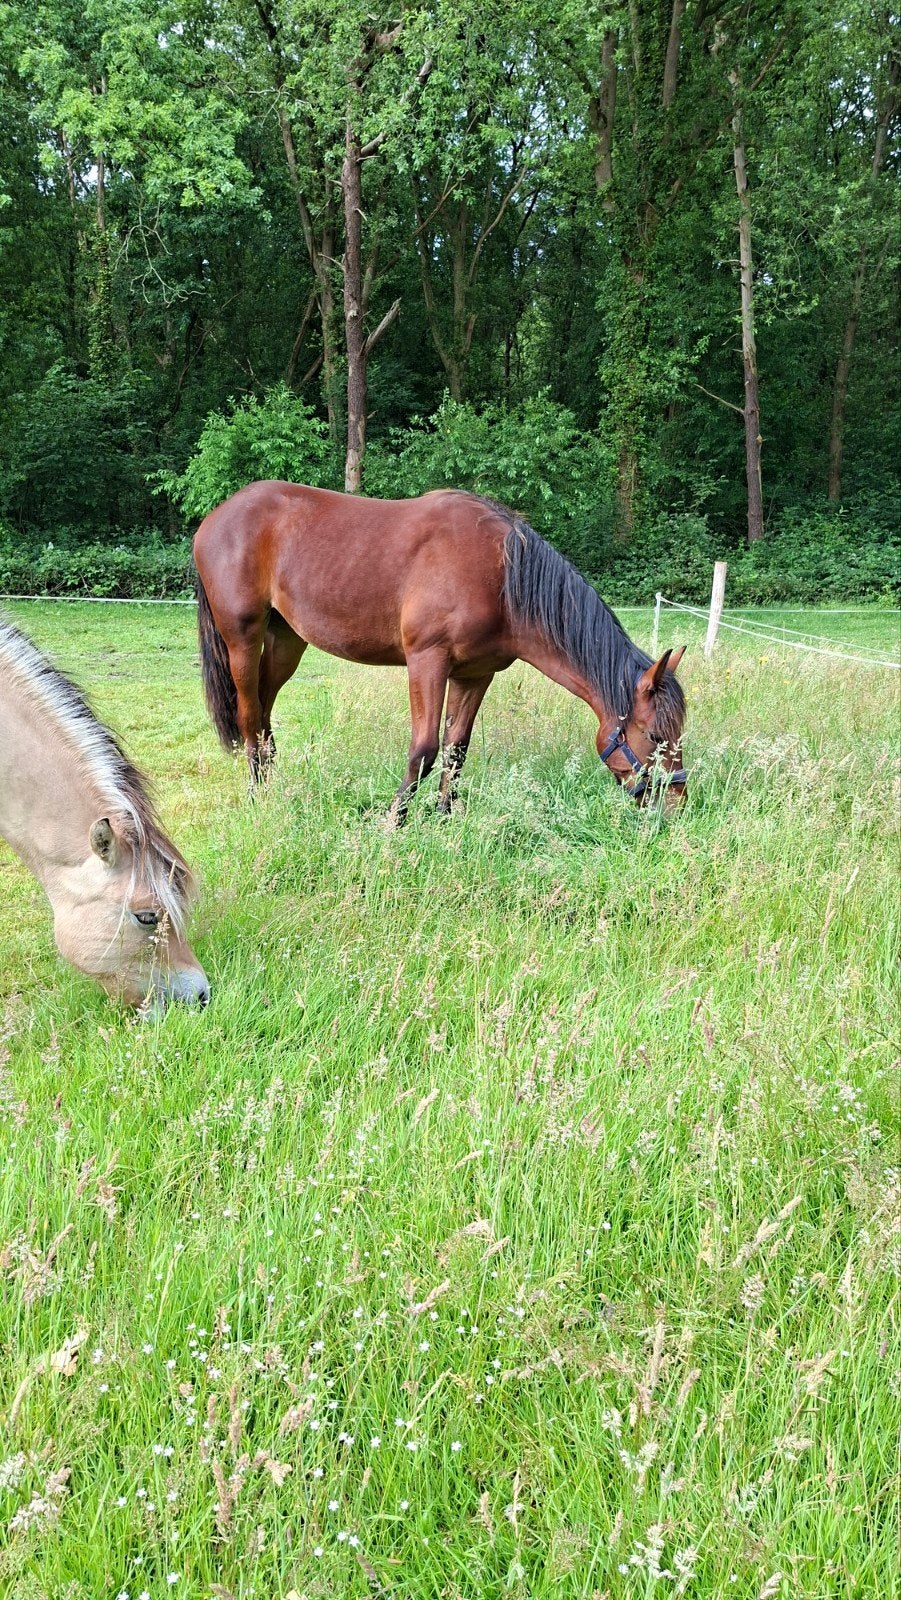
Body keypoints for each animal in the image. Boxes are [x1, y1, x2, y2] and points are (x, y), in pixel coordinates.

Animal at [193, 482, 687, 818]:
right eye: (655, 737)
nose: (677, 803)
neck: (501, 577)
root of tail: (216, 517)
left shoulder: (475, 674)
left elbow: (456, 749)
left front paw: (444, 816)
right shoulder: (427, 663)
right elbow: (425, 750)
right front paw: (395, 822)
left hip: (286, 642)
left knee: (264, 713)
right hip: (242, 639)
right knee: (249, 717)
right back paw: (258, 797)